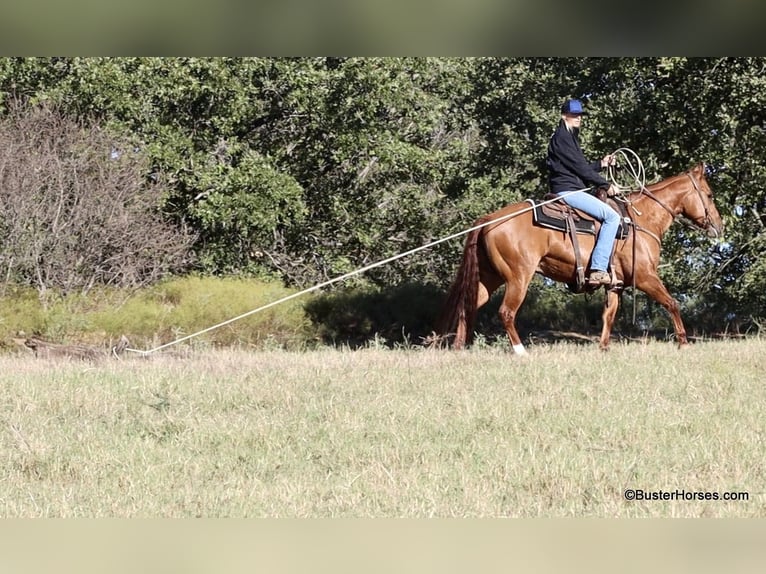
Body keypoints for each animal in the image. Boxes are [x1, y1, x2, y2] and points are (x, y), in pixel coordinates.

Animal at [437, 163, 724, 354]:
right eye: (709, 195)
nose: (719, 226)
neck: (641, 220)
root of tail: (488, 219)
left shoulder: (615, 285)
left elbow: (609, 314)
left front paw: (604, 348)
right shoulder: (645, 277)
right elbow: (672, 303)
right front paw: (683, 341)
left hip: (489, 277)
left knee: (468, 305)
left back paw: (459, 348)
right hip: (518, 277)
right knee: (506, 312)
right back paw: (521, 352)